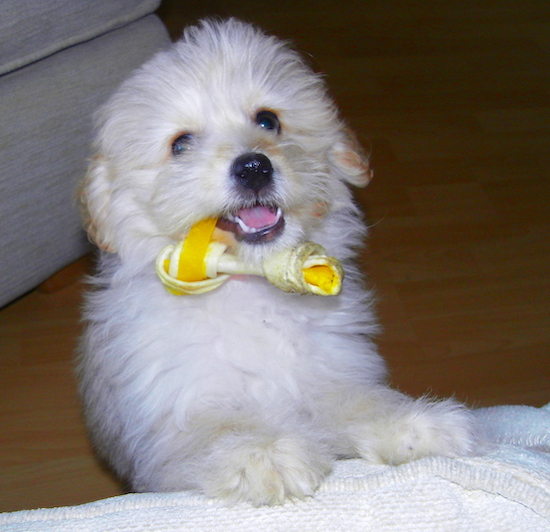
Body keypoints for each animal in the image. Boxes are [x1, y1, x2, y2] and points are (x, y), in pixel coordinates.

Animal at [80, 18, 480, 504]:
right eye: (181, 144)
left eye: (268, 120)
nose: (254, 167)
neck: (251, 288)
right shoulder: (175, 409)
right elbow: (216, 427)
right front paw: (265, 455)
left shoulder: (328, 370)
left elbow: (358, 401)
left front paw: (415, 424)